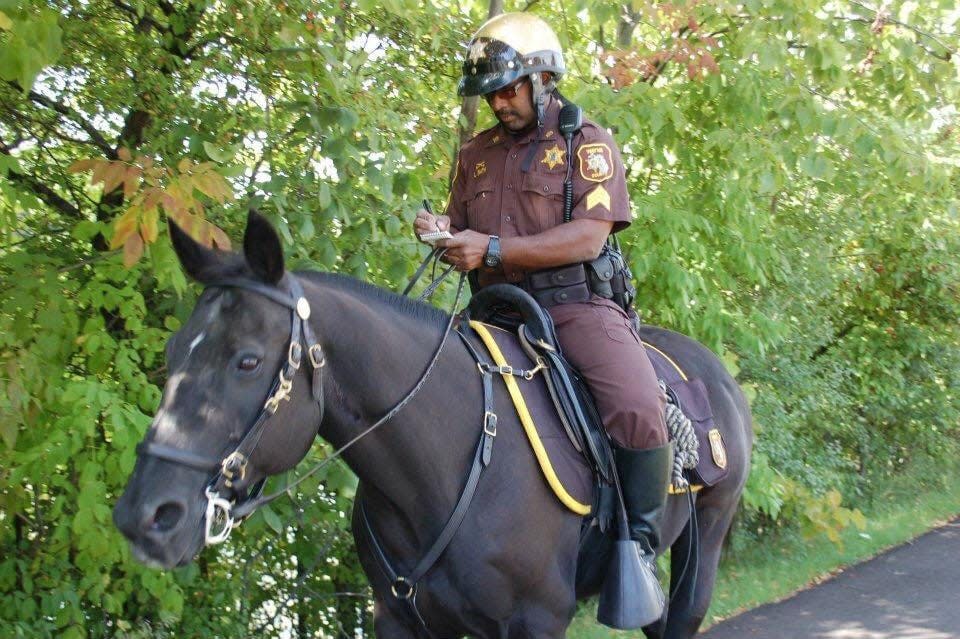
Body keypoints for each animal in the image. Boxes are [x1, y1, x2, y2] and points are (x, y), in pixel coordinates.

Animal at [114, 215, 752, 639]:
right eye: (173, 351)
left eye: (246, 361)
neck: (445, 468)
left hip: (701, 553)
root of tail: (716, 375)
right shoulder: (399, 618)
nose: (145, 517)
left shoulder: (537, 621)